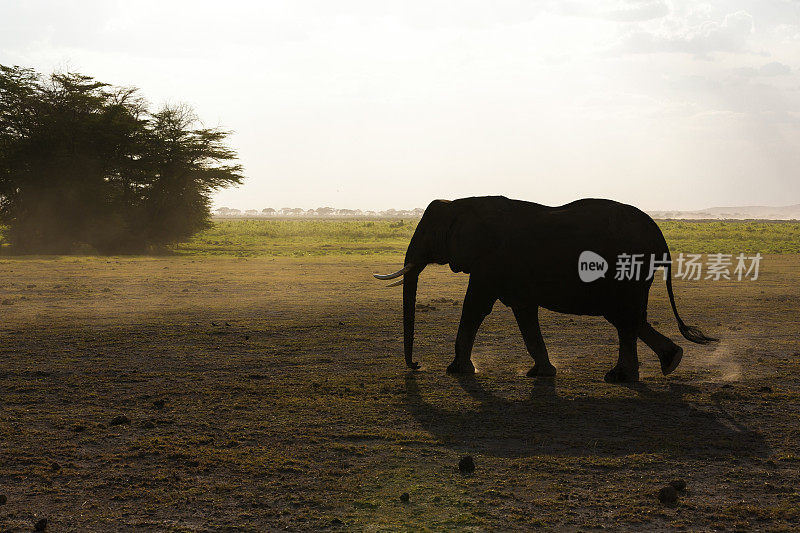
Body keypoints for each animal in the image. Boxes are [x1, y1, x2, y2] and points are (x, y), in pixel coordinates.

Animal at [376, 195, 720, 382]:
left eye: (427, 233)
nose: (417, 366)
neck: (461, 203)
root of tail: (661, 238)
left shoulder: (490, 261)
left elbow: (476, 307)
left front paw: (456, 371)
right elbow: (524, 312)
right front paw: (541, 373)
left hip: (628, 271)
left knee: (625, 319)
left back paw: (627, 375)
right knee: (629, 320)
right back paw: (666, 363)